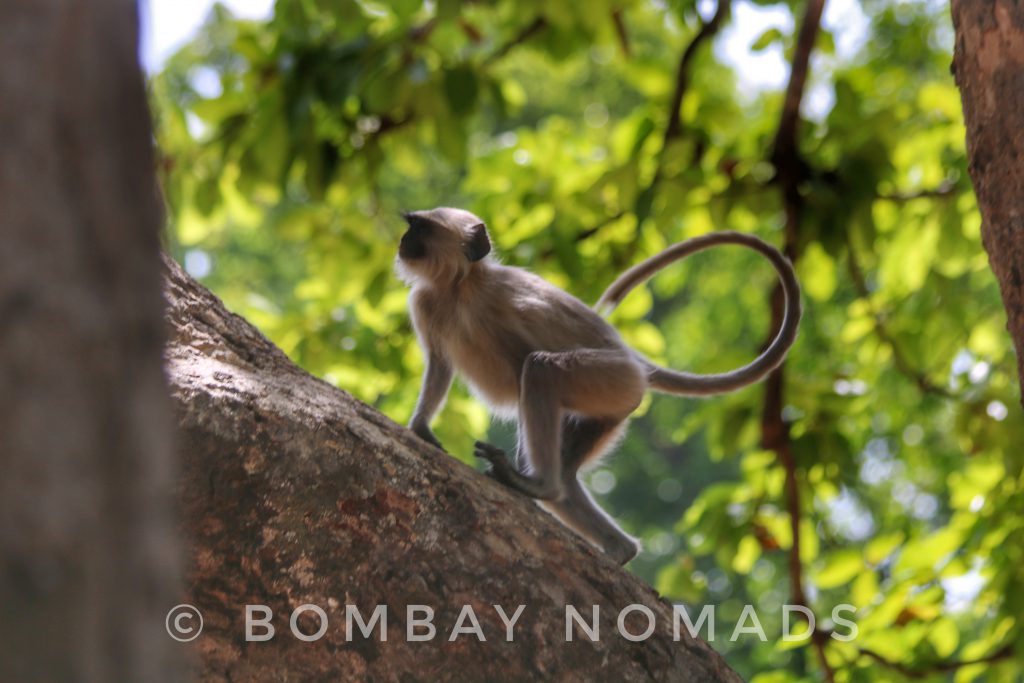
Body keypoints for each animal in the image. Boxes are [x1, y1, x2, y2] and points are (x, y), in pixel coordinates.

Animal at [395, 205, 802, 565]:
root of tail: (636, 363)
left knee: (541, 368)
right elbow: (440, 365)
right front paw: (420, 426)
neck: (460, 286)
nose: (402, 240)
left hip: (612, 378)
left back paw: (541, 485)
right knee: (566, 474)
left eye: (419, 229)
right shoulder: (426, 302)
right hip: (611, 407)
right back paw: (616, 546)